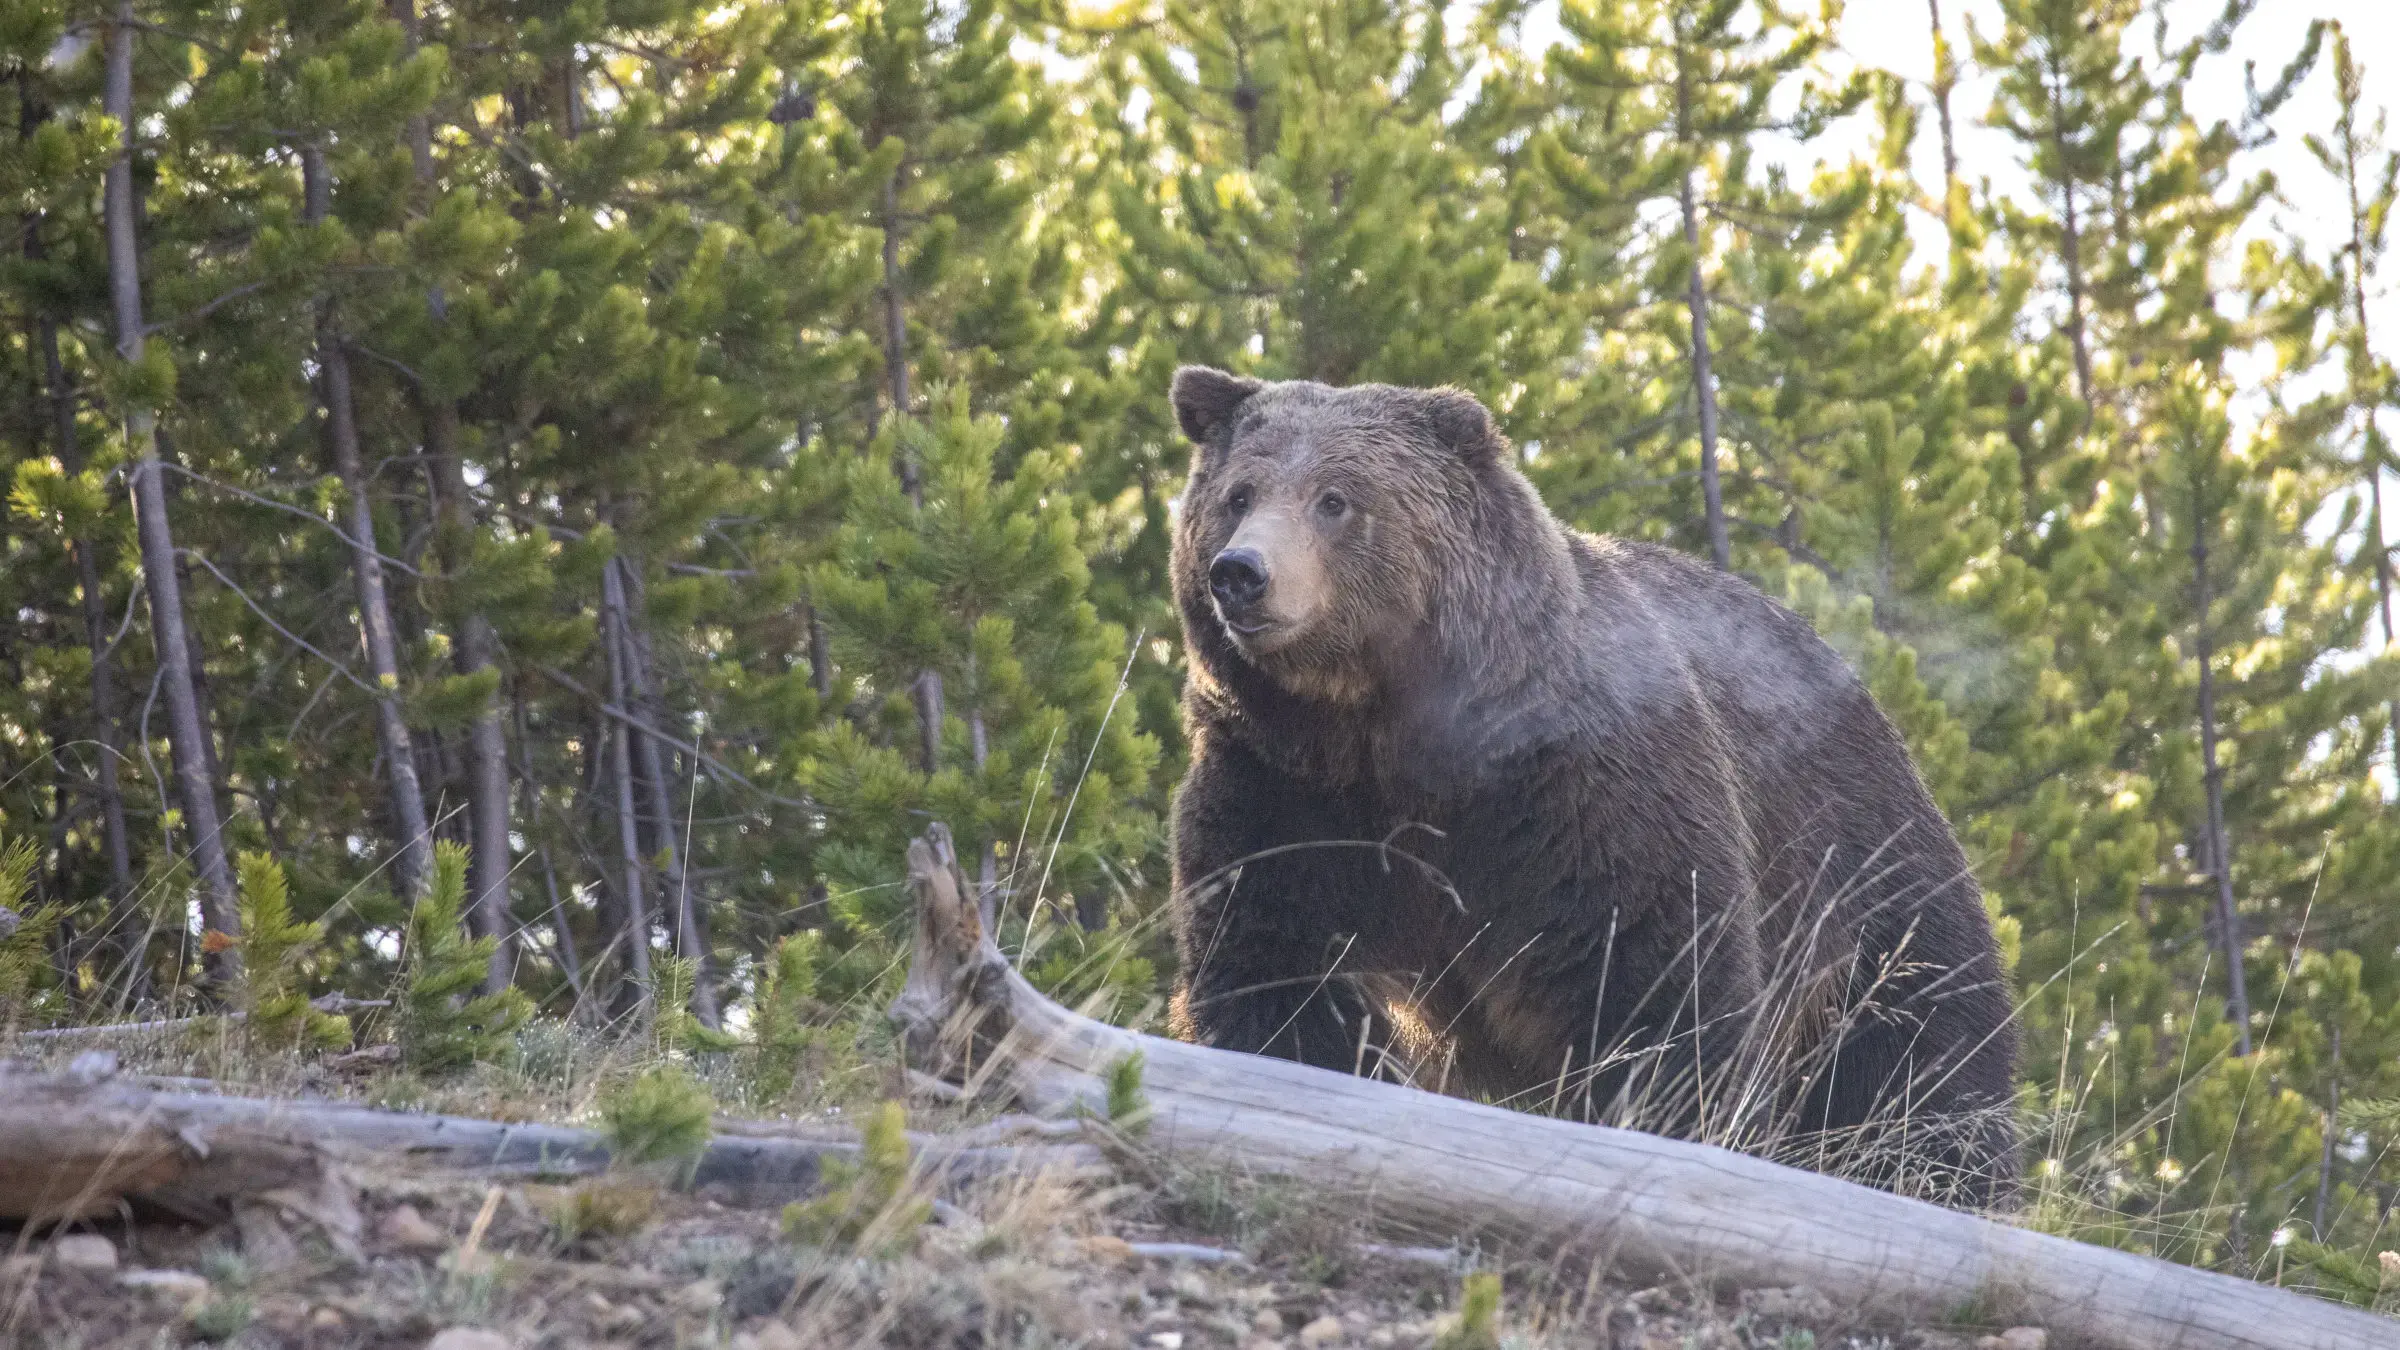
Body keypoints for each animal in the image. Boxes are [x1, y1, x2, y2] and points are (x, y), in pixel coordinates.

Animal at [1163, 365, 2019, 1208]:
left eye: (1336, 499)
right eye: (1238, 494)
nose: (1242, 573)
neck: (1384, 733)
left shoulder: (1578, 789)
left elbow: (1651, 977)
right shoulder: (1283, 790)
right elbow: (1272, 961)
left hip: (1861, 863)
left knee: (1922, 1049)